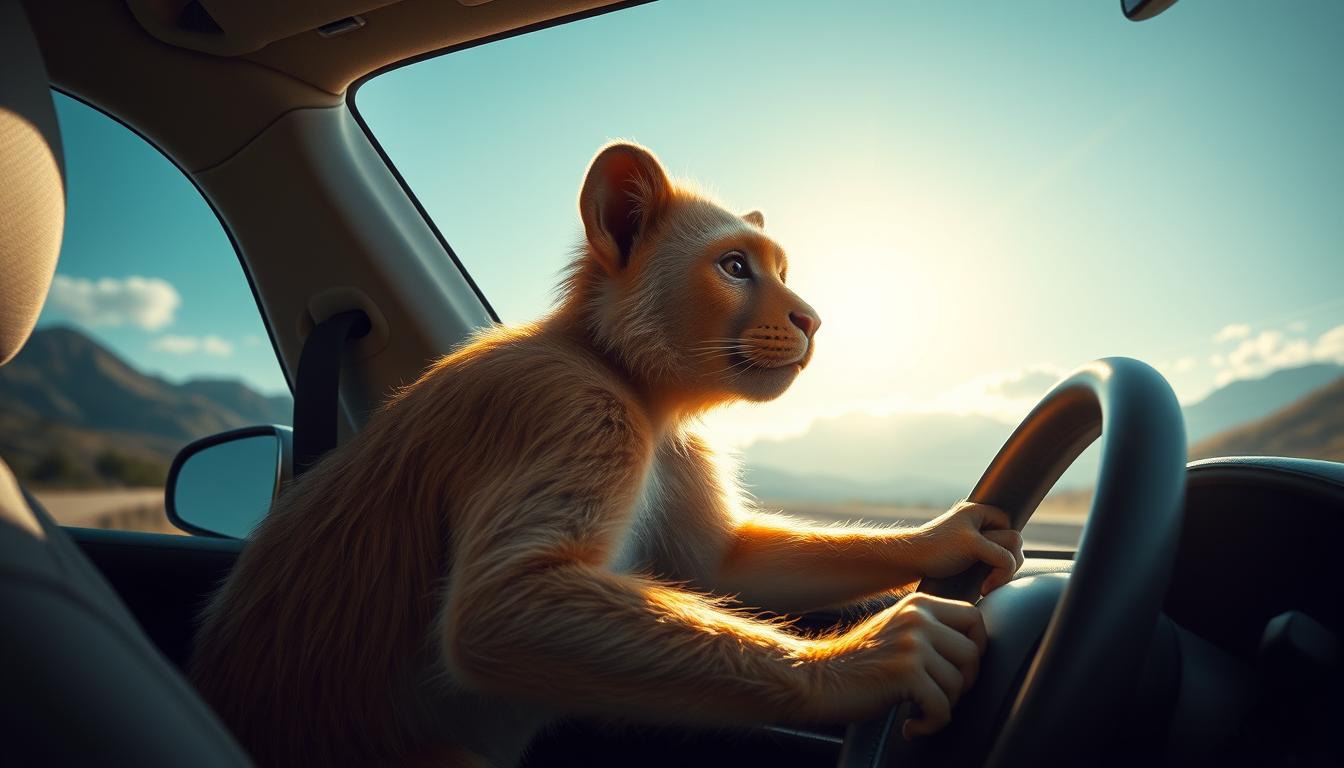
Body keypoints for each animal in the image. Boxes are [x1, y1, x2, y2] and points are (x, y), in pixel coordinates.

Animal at [189, 142, 1024, 768]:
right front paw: (870, 661)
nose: (813, 319)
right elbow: (504, 605)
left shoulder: (670, 450)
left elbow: (718, 562)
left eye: (781, 270)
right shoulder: (575, 414)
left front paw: (948, 536)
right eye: (734, 266)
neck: (623, 371)